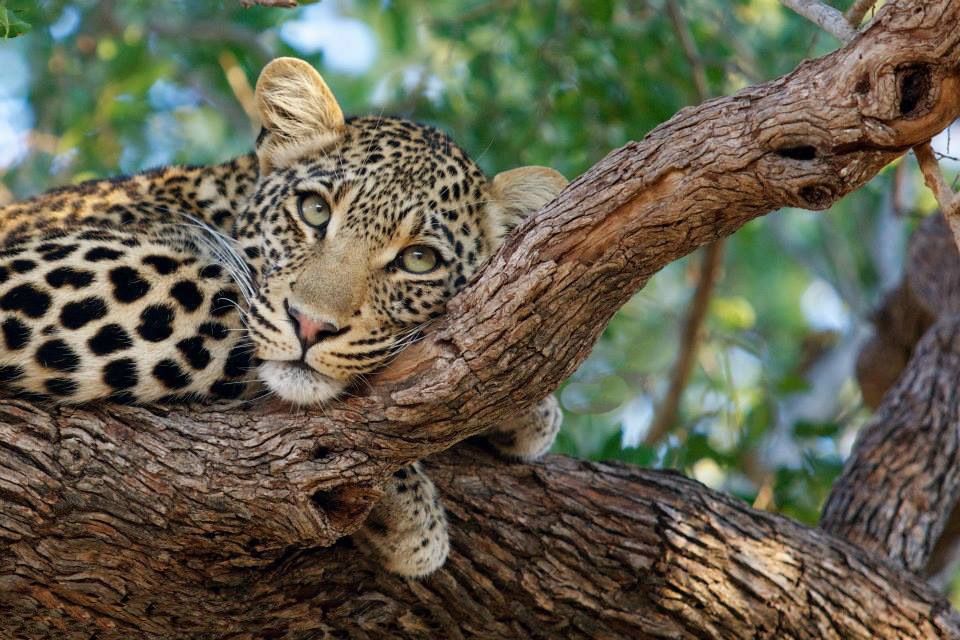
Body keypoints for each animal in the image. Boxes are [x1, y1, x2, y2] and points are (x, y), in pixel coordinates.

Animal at [0, 57, 565, 577]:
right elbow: (234, 309)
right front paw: (407, 504)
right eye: (314, 210)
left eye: (419, 260)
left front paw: (523, 404)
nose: (311, 326)